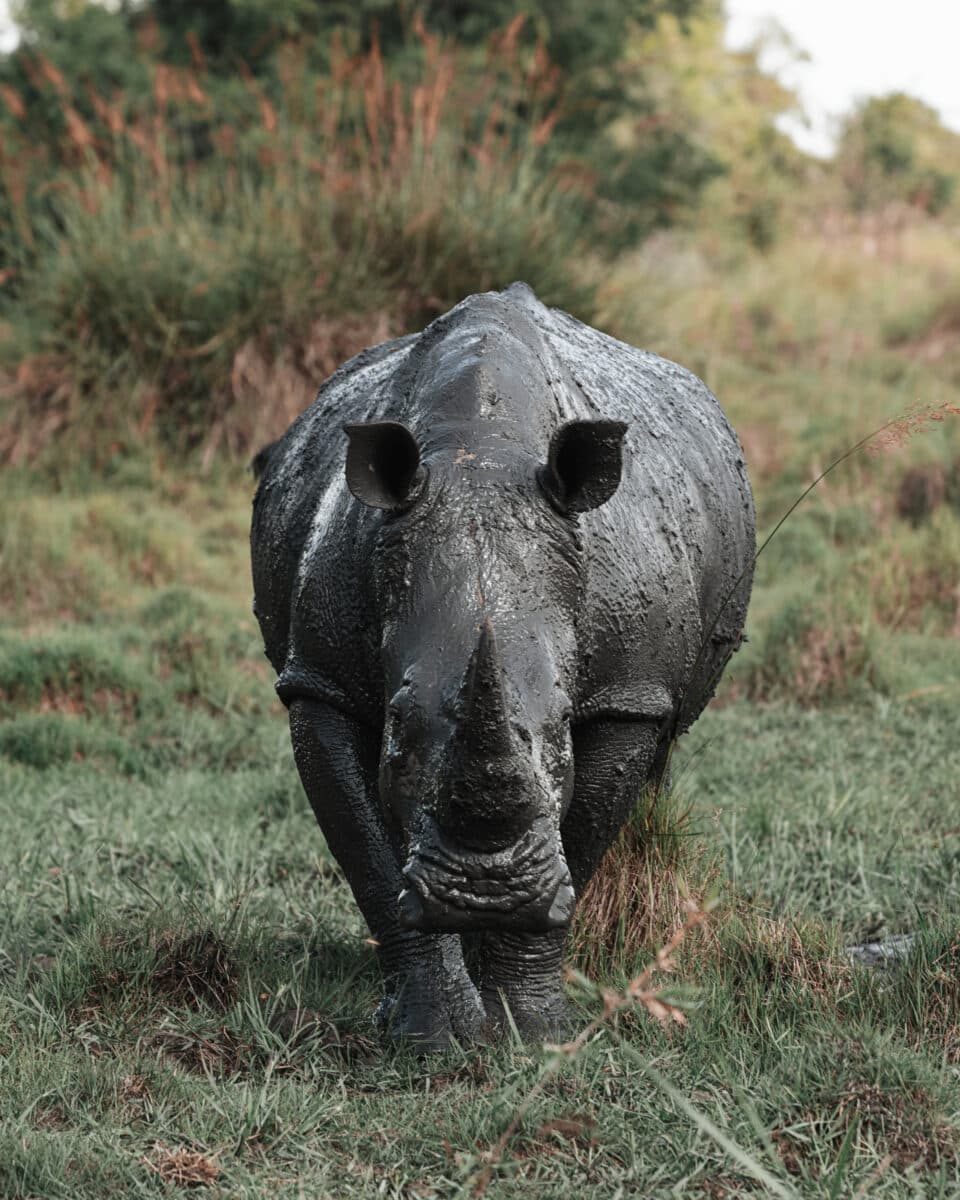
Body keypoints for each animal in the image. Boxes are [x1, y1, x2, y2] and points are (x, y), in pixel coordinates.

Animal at [249, 278, 758, 1041]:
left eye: (561, 728)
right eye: (397, 727)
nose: (485, 893)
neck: (477, 460)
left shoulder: (627, 692)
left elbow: (583, 833)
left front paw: (529, 1030)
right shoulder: (319, 679)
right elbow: (369, 859)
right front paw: (431, 1035)